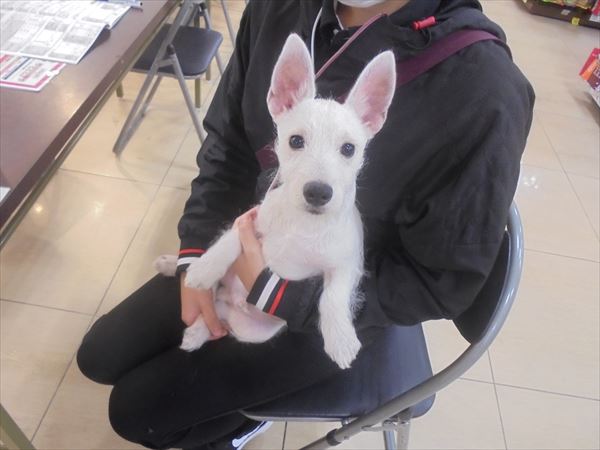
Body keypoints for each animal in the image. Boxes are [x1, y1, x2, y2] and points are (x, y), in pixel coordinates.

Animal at [156, 34, 396, 369]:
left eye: (349, 149)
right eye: (295, 141)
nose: (318, 192)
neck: (303, 223)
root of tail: (231, 300)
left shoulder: (349, 264)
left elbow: (332, 296)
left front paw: (340, 338)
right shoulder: (252, 219)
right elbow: (229, 241)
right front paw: (204, 268)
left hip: (253, 330)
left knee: (219, 313)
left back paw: (198, 330)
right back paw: (176, 267)